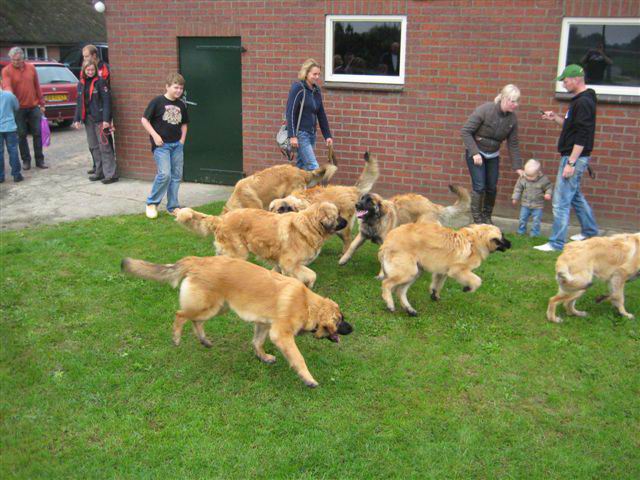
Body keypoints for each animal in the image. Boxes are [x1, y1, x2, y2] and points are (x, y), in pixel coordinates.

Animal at [122, 255, 352, 386]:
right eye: (341, 320)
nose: (352, 328)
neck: (307, 305)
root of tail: (196, 261)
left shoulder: (263, 325)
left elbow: (257, 342)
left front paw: (263, 357)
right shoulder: (281, 334)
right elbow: (298, 358)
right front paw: (308, 379)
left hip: (217, 308)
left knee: (196, 321)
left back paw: (204, 340)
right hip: (208, 306)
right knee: (180, 315)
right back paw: (177, 337)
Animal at [172, 203, 348, 288]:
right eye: (338, 216)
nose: (347, 222)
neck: (309, 225)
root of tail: (221, 219)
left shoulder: (281, 263)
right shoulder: (289, 264)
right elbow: (312, 275)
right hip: (239, 253)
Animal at [340, 184, 470, 266]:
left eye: (369, 201)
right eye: (362, 198)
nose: (356, 205)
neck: (374, 221)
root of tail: (433, 206)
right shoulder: (362, 235)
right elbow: (352, 246)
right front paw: (343, 259)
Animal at [380, 223, 510, 316]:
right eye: (502, 237)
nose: (511, 244)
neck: (475, 240)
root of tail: (386, 242)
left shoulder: (442, 271)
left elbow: (437, 284)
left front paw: (434, 295)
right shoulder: (458, 270)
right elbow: (477, 280)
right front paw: (468, 288)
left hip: (415, 272)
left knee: (400, 291)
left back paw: (409, 309)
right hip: (408, 272)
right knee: (386, 284)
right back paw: (390, 304)